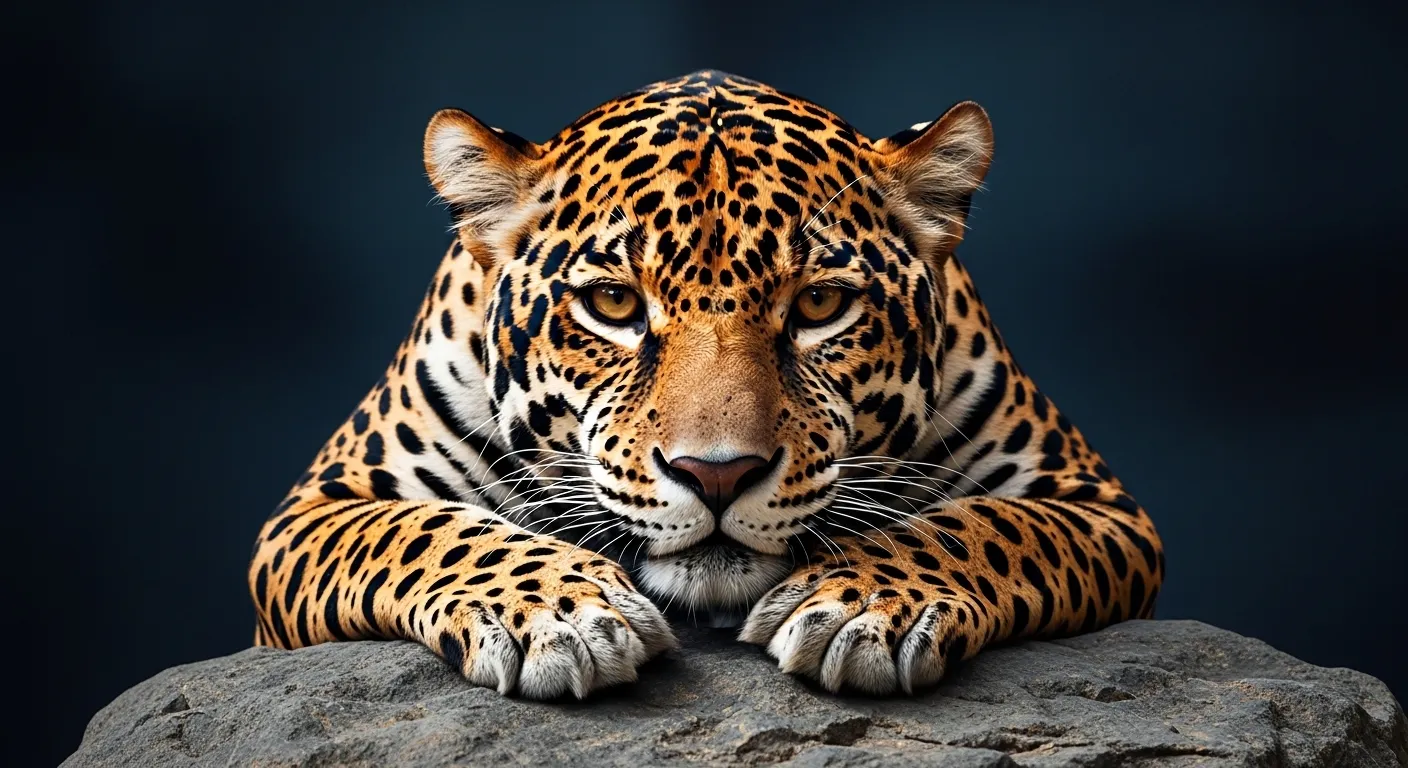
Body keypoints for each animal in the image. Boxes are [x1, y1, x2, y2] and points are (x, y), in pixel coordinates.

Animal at [249, 70, 1164, 699]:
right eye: (614, 303)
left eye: (820, 304)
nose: (716, 475)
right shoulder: (310, 514)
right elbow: (426, 532)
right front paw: (558, 613)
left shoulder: (1099, 506)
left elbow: (981, 526)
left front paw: (864, 603)